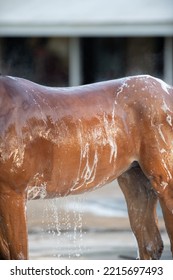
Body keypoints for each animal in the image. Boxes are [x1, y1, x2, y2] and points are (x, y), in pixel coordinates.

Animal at [0, 74, 172, 260]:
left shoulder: (12, 193)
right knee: (150, 244)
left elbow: (18, 255)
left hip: (165, 181)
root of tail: (167, 89)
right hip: (135, 180)